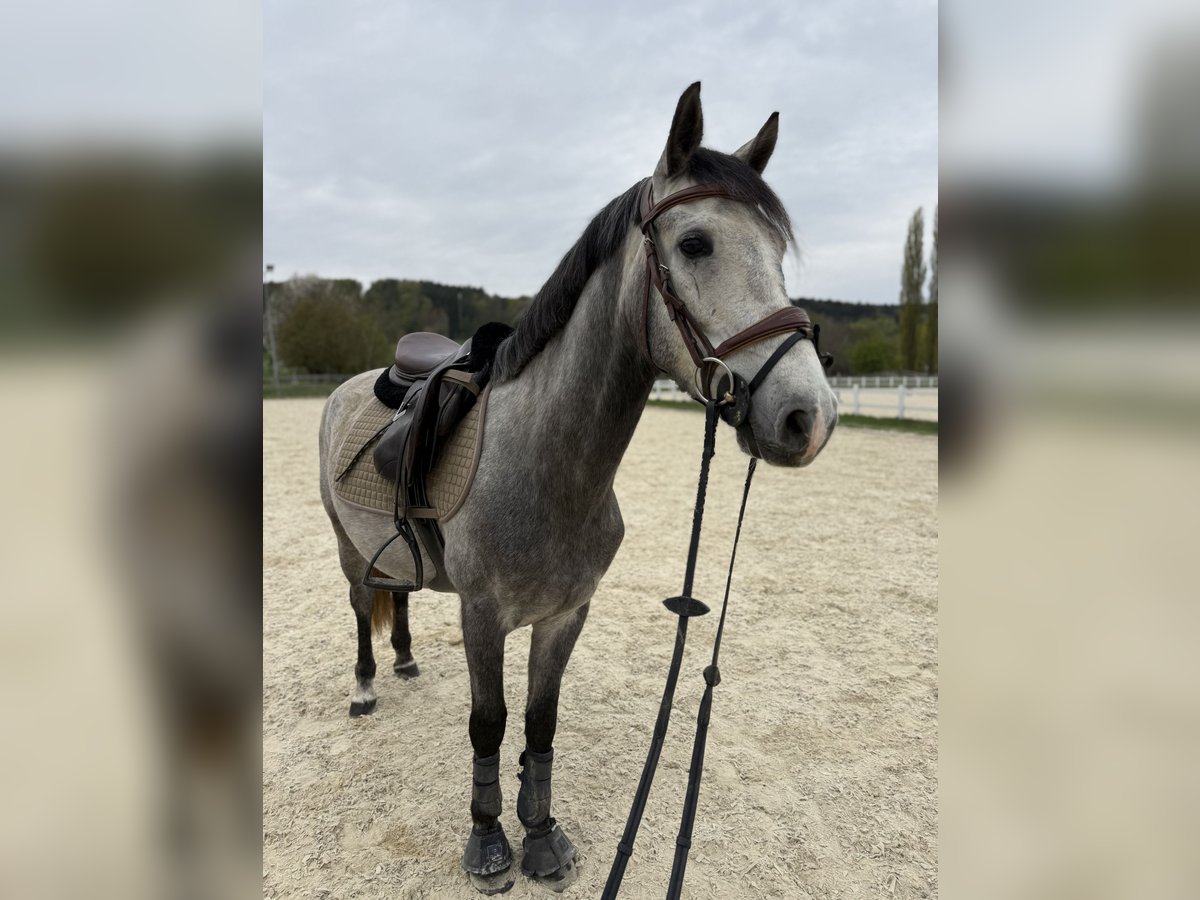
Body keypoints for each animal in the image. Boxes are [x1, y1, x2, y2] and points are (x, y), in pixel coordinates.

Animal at [317, 82, 838, 893]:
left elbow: (539, 722)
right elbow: (490, 724)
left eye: (778, 252)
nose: (807, 416)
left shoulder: (565, 614)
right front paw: (489, 844)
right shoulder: (483, 617)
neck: (546, 465)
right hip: (347, 547)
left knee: (396, 594)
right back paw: (368, 684)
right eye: (695, 244)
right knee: (358, 604)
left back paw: (402, 660)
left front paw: (540, 839)